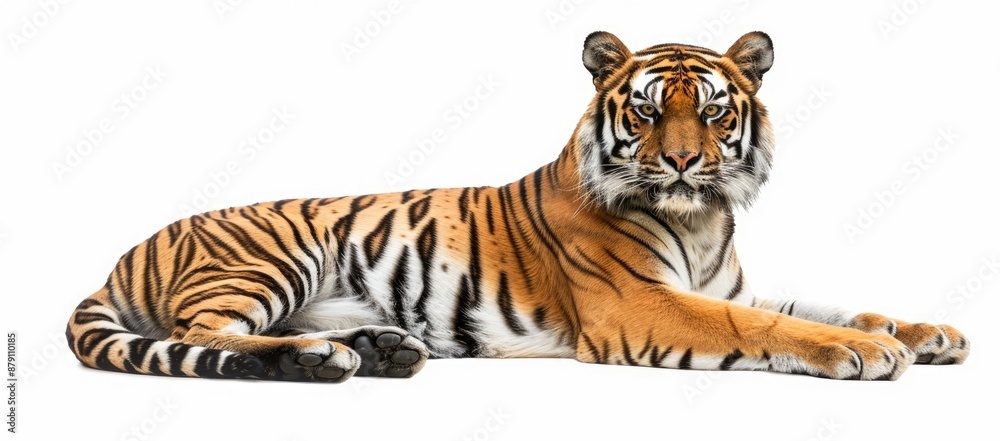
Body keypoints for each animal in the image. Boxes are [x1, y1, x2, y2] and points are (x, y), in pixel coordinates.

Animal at [66, 31, 969, 382]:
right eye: (648, 111)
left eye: (713, 112)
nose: (683, 160)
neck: (702, 216)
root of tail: (121, 254)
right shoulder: (637, 304)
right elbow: (766, 326)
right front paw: (863, 351)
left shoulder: (725, 283)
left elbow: (830, 304)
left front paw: (928, 333)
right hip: (269, 256)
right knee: (203, 336)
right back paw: (323, 360)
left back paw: (376, 348)